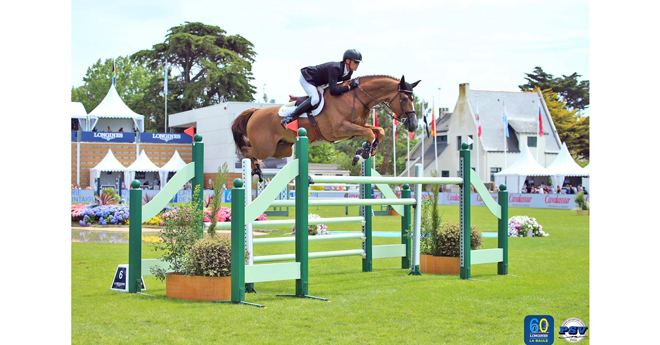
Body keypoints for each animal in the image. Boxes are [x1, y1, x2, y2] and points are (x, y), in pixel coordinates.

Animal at [231, 74, 418, 181]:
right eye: (403, 99)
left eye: (413, 98)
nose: (414, 124)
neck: (354, 97)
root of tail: (255, 112)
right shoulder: (340, 129)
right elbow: (369, 133)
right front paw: (362, 155)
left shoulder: (355, 125)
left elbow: (379, 130)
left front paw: (367, 151)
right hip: (265, 148)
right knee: (247, 151)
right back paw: (257, 172)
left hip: (282, 149)